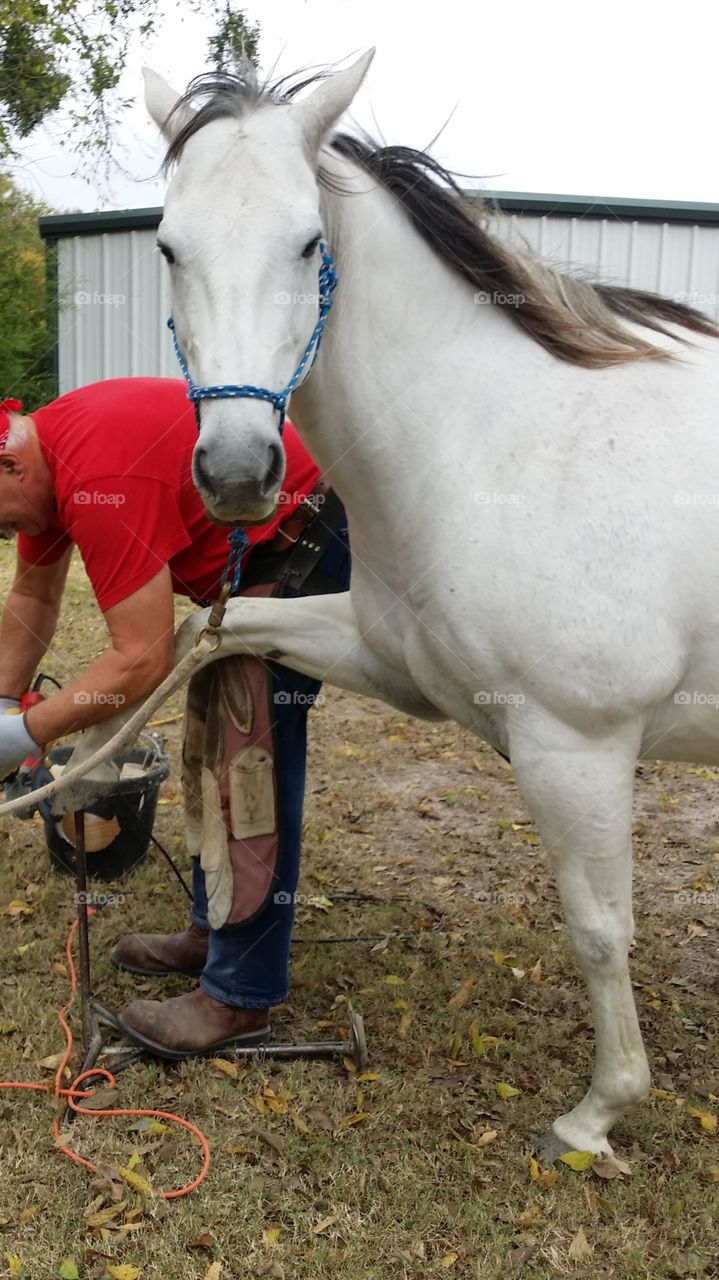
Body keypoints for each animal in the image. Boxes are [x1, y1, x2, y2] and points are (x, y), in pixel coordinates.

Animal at [113, 52, 719, 1162]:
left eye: (308, 242)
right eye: (170, 245)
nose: (236, 473)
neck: (493, 444)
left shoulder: (577, 745)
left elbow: (598, 928)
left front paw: (596, 1112)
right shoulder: (387, 660)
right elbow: (204, 640)